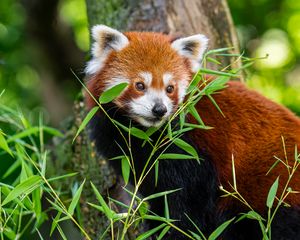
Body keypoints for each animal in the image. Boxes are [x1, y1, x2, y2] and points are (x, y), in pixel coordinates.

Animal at [84, 25, 300, 239]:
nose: (159, 109)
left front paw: (173, 230)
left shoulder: (191, 149)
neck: (143, 133)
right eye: (140, 85)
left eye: (170, 88)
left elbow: (188, 202)